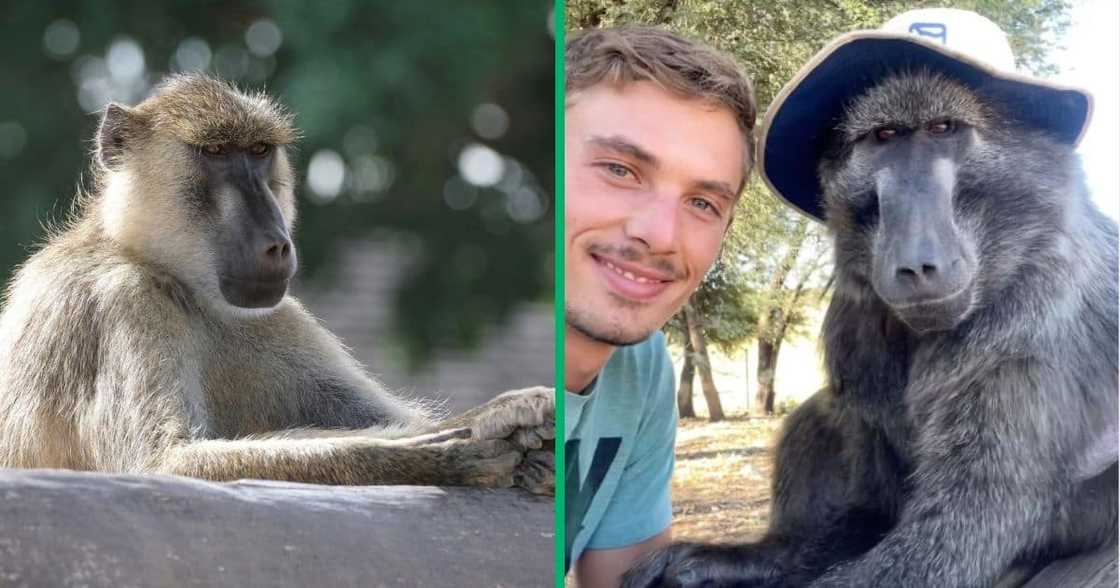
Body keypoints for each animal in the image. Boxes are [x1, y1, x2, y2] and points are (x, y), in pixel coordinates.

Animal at [0, 73, 555, 492]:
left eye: (260, 150)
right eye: (216, 151)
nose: (276, 243)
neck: (173, 279)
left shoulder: (279, 316)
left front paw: (512, 421)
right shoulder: (118, 301)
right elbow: (164, 462)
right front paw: (444, 452)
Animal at [623, 70, 1118, 587]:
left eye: (944, 128)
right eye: (884, 136)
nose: (917, 263)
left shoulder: (1030, 326)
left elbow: (946, 548)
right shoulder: (854, 323)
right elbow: (871, 508)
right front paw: (749, 560)